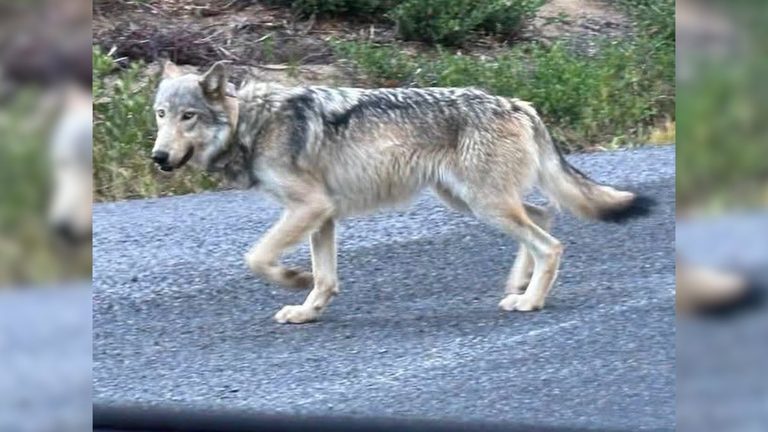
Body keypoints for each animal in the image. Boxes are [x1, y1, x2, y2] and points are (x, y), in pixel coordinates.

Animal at [151, 61, 654, 324]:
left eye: (188, 117)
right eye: (160, 114)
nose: (157, 156)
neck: (251, 125)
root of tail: (520, 104)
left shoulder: (309, 207)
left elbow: (256, 257)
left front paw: (292, 279)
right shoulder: (322, 214)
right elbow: (325, 278)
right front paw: (308, 309)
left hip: (484, 205)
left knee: (550, 244)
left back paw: (531, 300)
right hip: (470, 201)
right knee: (544, 217)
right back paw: (519, 287)